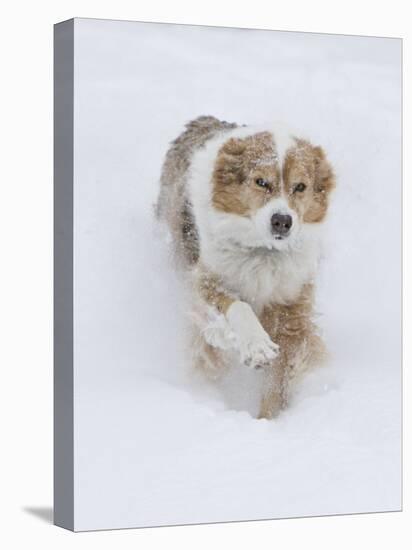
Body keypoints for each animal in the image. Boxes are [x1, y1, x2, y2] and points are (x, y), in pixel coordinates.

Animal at [156, 116, 336, 418]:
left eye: (300, 186)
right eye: (261, 182)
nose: (282, 221)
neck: (264, 253)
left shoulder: (291, 305)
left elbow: (278, 378)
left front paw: (268, 419)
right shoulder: (204, 279)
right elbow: (236, 307)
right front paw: (256, 346)